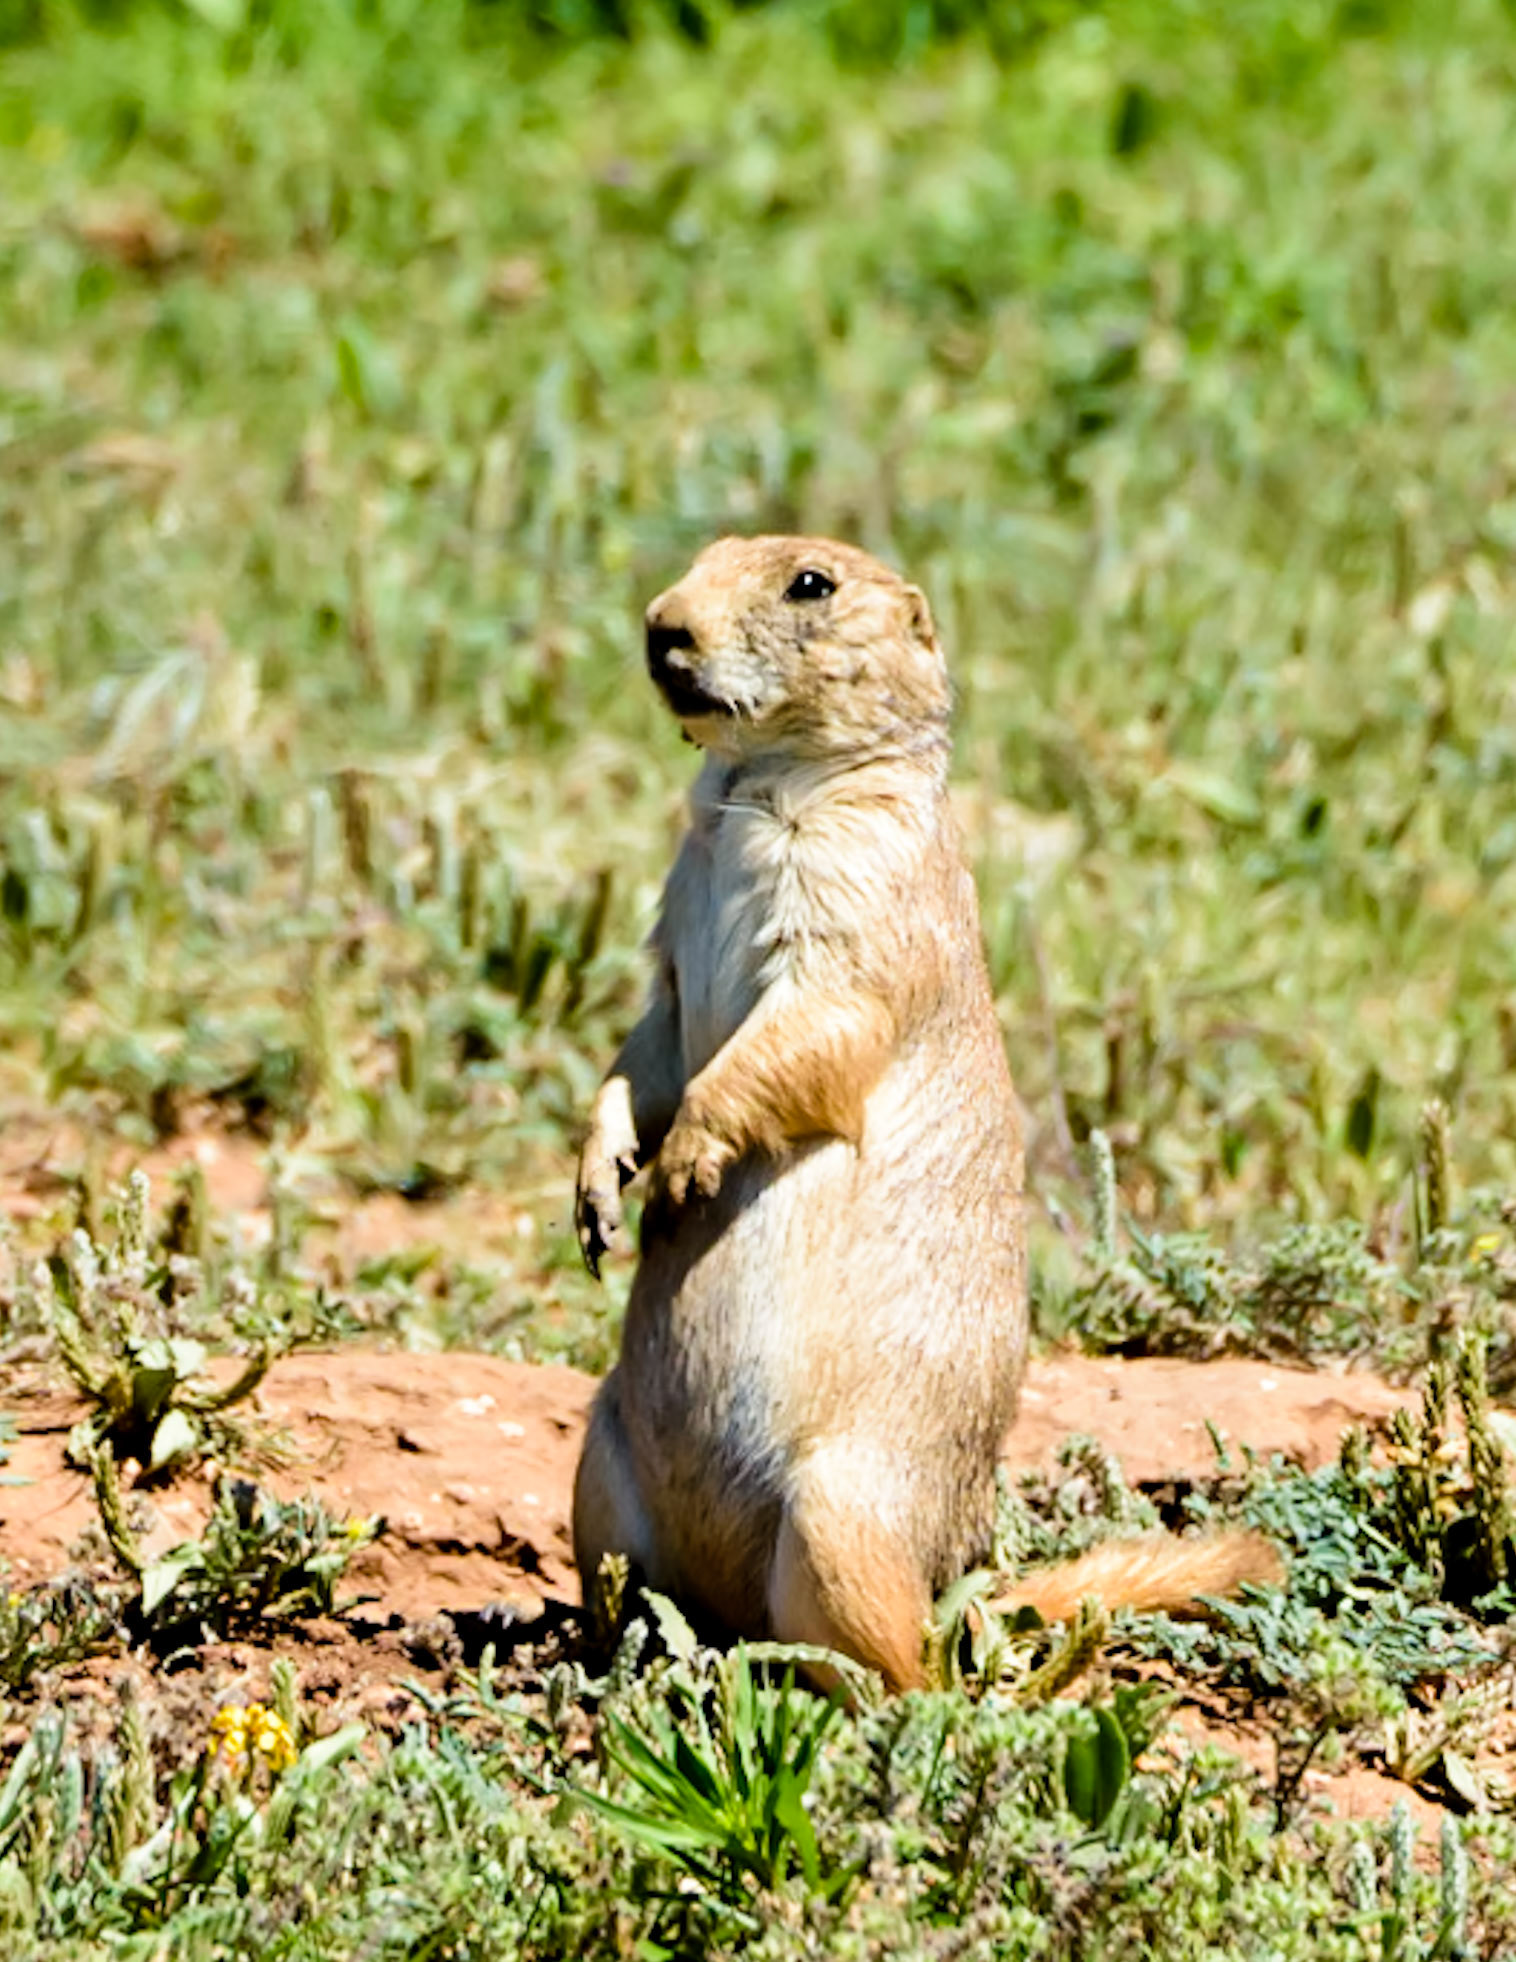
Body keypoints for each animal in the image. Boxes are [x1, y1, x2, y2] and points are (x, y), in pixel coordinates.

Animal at [572, 535, 1278, 1691]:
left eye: (810, 584)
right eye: (706, 554)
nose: (660, 625)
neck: (758, 783)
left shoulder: (866, 907)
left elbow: (801, 1030)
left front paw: (680, 1169)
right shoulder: (675, 932)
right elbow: (651, 1043)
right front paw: (599, 1182)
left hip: (843, 1518)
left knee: (912, 1674)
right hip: (598, 1460)